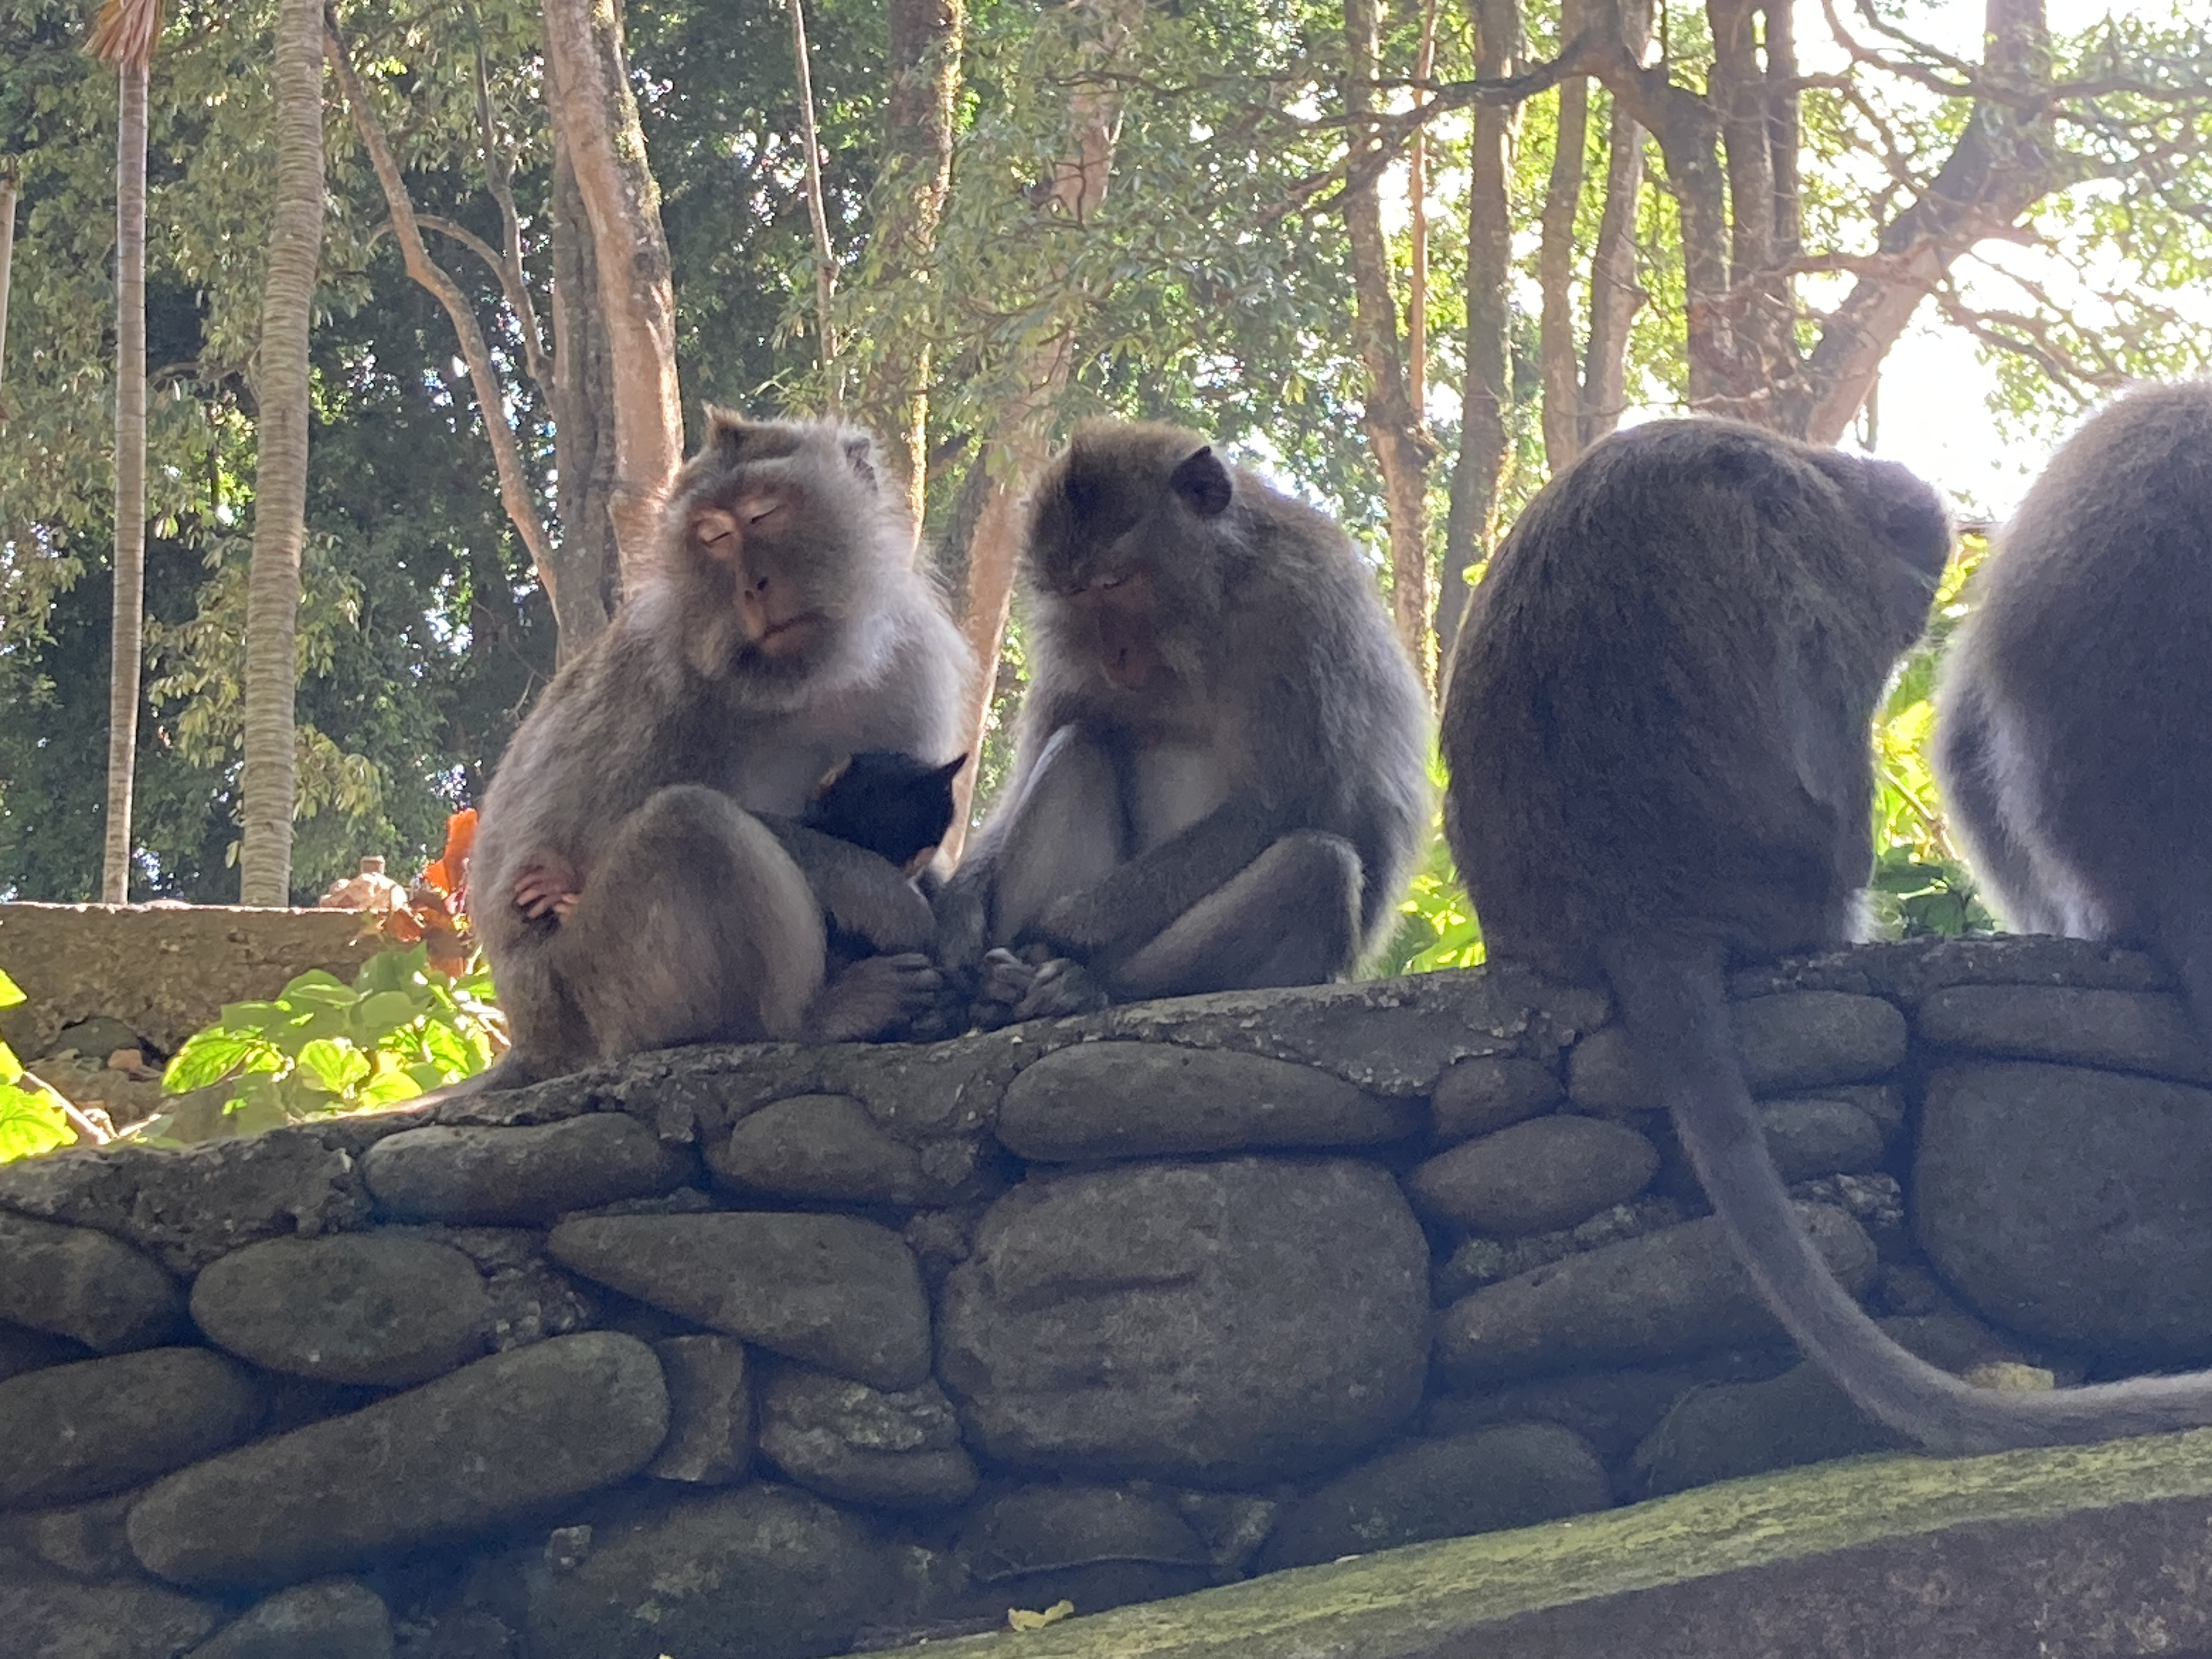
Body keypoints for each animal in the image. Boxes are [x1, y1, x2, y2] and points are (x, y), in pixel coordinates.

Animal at [469, 411, 974, 1082]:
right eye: (714, 536)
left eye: (764, 514)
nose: (753, 586)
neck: (804, 681)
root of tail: (534, 1041)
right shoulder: (660, 686)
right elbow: (570, 870)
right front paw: (890, 900)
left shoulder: (911, 663)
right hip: (596, 991)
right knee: (690, 821)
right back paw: (812, 1020)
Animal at [934, 419, 1430, 1025]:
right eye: (1076, 592)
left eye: (1115, 583)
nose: (1114, 654)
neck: (1211, 608)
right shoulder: (1064, 655)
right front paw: (958, 914)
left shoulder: (1299, 611)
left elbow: (1276, 808)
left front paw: (1066, 925)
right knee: (1079, 742)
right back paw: (1000, 994)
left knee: (1319, 867)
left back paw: (1087, 983)